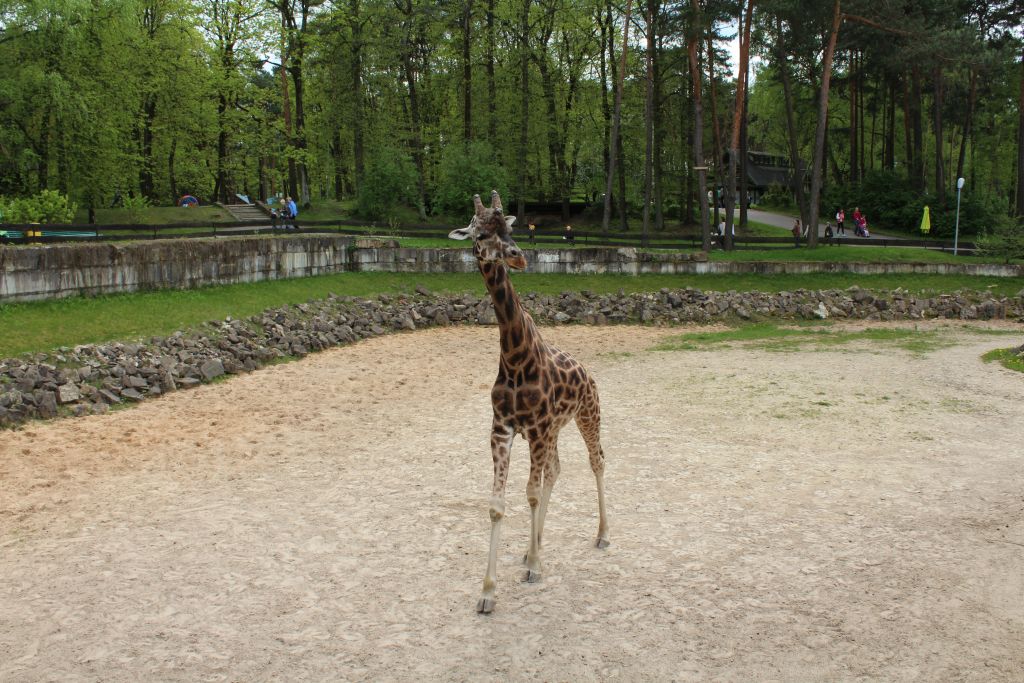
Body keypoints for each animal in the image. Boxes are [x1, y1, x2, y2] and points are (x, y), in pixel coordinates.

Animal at [448, 191, 606, 614]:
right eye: (481, 233)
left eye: (510, 228)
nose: (518, 256)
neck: (516, 357)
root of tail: (587, 371)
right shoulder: (502, 429)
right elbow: (498, 504)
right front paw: (489, 591)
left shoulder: (535, 428)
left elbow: (531, 494)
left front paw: (535, 566)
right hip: (554, 431)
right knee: (555, 471)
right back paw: (533, 546)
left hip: (588, 416)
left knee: (596, 462)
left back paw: (601, 535)